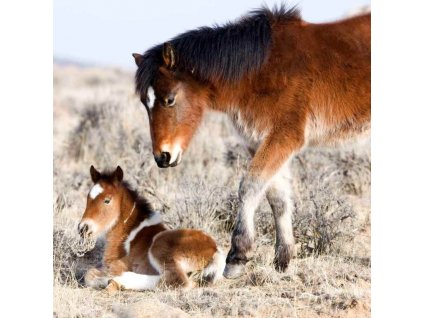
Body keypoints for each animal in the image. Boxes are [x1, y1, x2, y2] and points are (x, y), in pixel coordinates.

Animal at [78, 166, 227, 290]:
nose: (83, 228)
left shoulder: (121, 263)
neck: (128, 232)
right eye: (87, 198)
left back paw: (120, 281)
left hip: (160, 245)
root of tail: (215, 250)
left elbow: (90, 274)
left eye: (107, 200)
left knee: (178, 281)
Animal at [132, 5, 372, 278]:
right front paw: (282, 260)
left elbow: (250, 186)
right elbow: (277, 198)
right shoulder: (260, 141)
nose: (163, 156)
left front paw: (237, 256)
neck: (261, 71)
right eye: (144, 102)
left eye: (170, 99)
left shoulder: (284, 137)